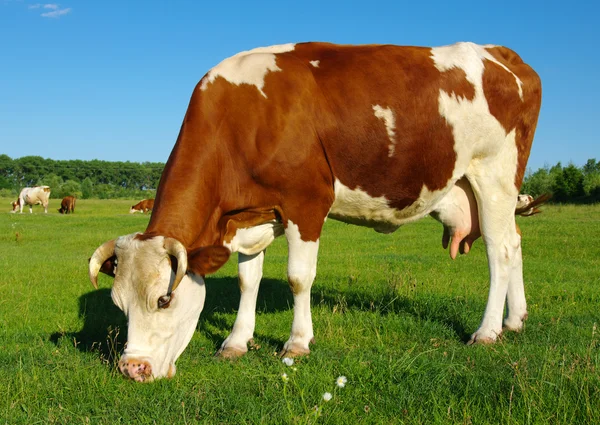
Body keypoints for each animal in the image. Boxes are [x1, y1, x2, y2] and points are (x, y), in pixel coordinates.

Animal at [89, 42, 544, 380]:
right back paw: (515, 320)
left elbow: (297, 278)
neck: (245, 117)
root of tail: (498, 52)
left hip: (494, 175)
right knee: (517, 243)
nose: (132, 369)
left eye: (163, 299)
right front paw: (236, 342)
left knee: (500, 250)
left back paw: (488, 331)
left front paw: (297, 342)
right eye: (118, 304)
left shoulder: (305, 202)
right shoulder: (252, 215)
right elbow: (248, 280)